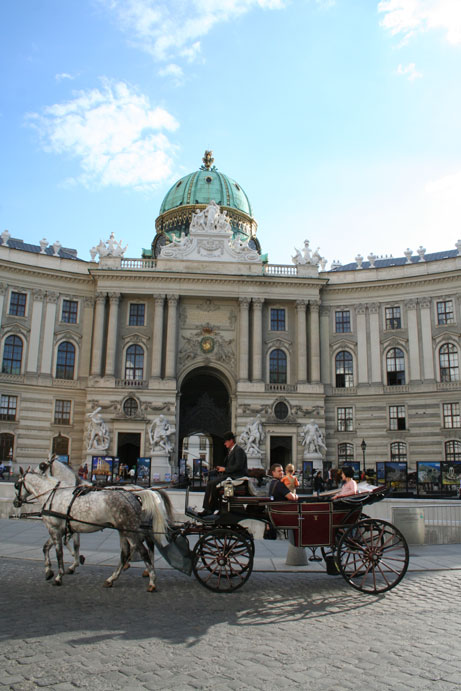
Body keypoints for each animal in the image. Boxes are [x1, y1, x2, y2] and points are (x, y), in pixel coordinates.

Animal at [14, 467, 162, 591]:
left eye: (16, 485)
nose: (15, 502)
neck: (53, 495)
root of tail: (133, 496)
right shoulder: (61, 529)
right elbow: (47, 547)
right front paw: (49, 571)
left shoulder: (54, 529)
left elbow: (59, 553)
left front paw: (59, 576)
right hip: (124, 530)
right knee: (126, 552)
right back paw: (111, 579)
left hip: (129, 530)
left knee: (143, 551)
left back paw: (152, 581)